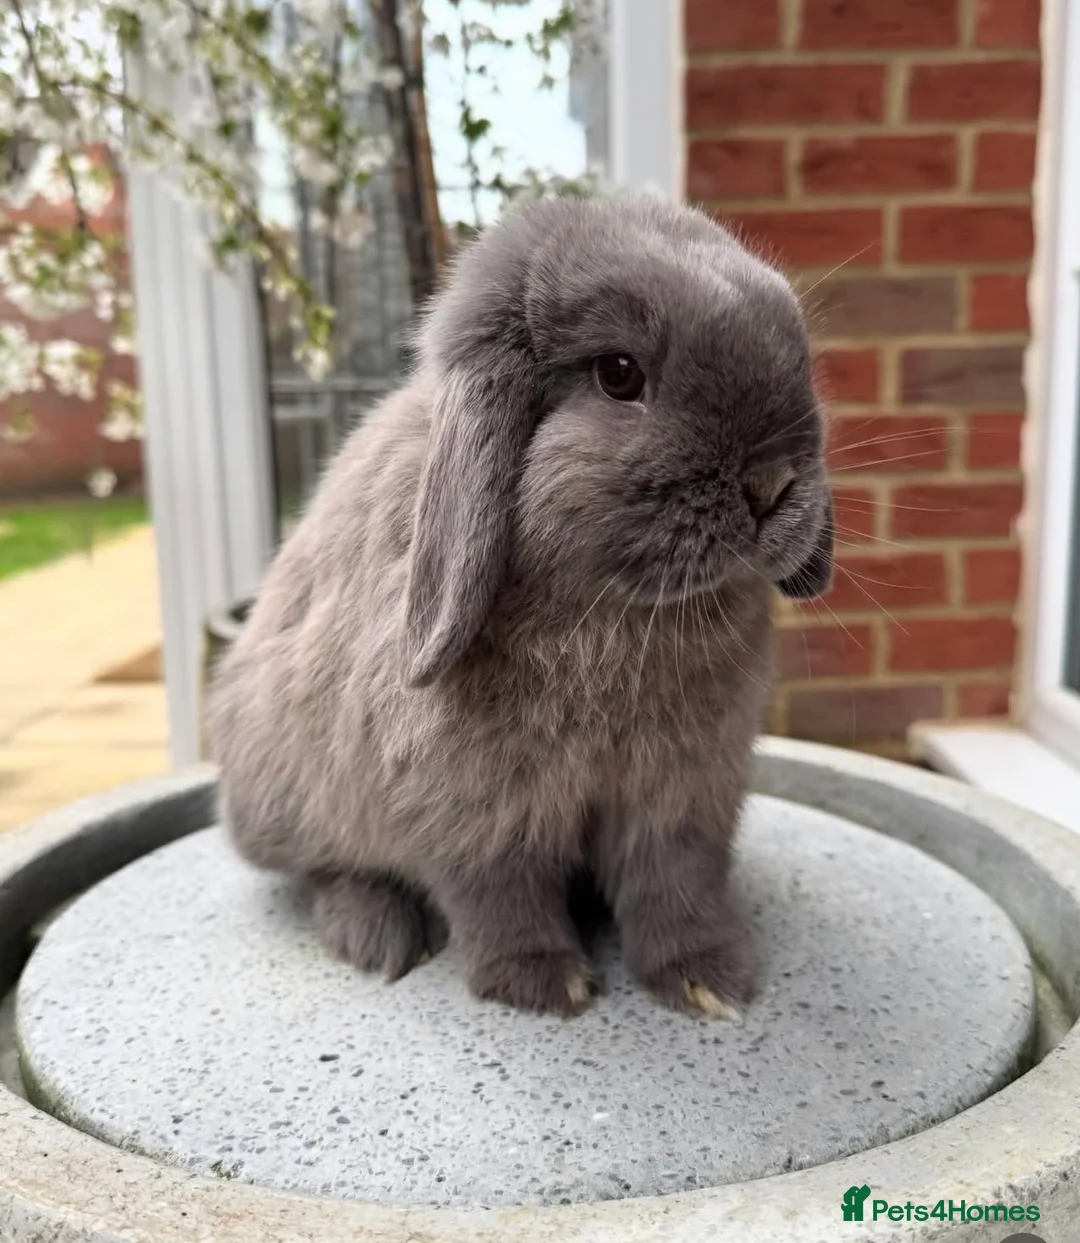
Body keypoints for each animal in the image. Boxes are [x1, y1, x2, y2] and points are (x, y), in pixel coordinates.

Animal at [207, 191, 833, 1020]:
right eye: (619, 374)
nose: (771, 485)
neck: (625, 614)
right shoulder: (476, 809)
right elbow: (500, 891)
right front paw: (542, 984)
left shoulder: (686, 797)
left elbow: (676, 884)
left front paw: (709, 980)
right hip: (291, 796)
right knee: (326, 868)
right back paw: (374, 932)